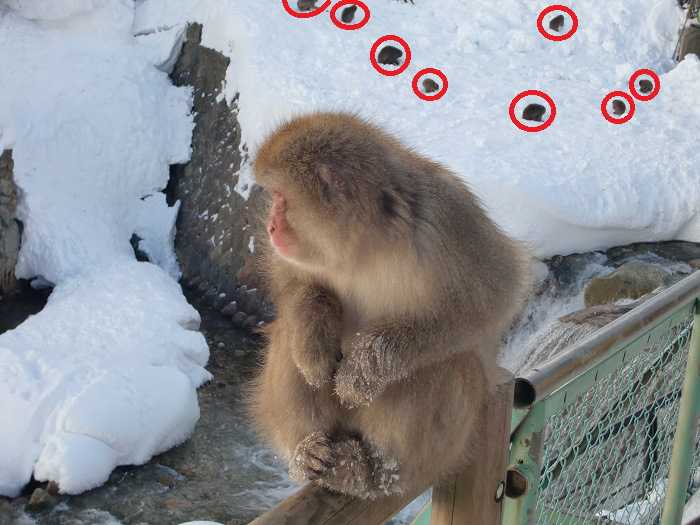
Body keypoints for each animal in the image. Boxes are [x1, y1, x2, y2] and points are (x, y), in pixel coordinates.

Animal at [248, 112, 531, 499]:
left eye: (280, 198)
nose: (271, 225)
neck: (364, 247)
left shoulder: (445, 220)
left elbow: (492, 297)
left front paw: (364, 367)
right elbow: (295, 282)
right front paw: (314, 338)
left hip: (446, 446)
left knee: (447, 365)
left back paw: (374, 471)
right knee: (286, 336)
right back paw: (310, 450)